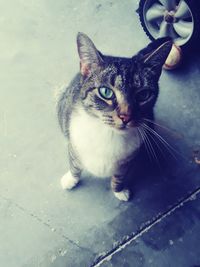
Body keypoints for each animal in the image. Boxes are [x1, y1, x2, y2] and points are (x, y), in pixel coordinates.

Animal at [57, 32, 173, 202]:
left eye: (143, 95)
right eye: (106, 92)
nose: (126, 116)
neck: (108, 134)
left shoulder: (128, 161)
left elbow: (119, 177)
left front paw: (120, 191)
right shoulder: (74, 143)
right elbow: (74, 164)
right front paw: (71, 179)